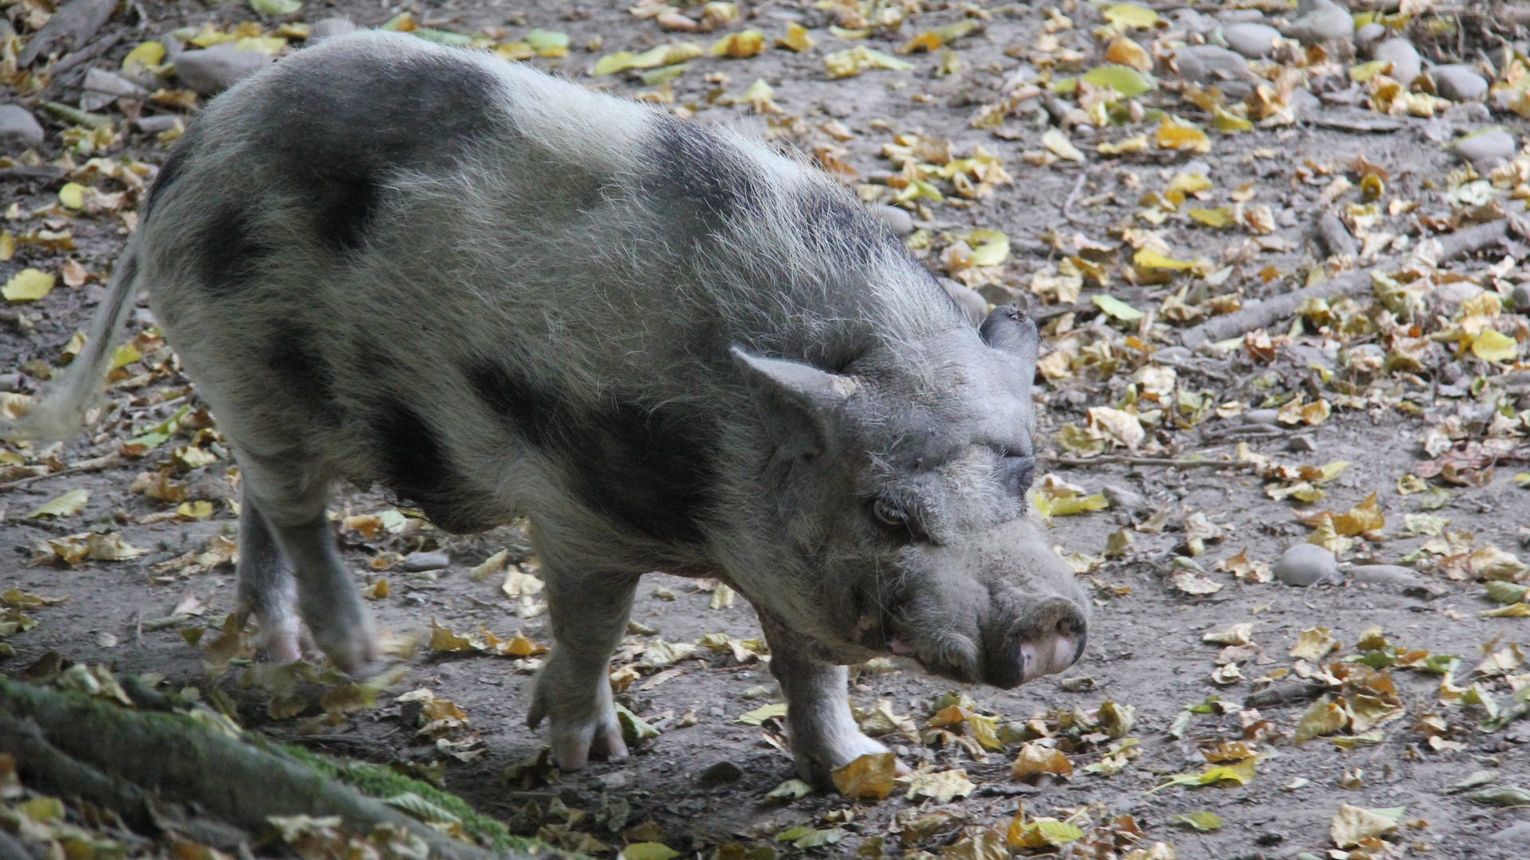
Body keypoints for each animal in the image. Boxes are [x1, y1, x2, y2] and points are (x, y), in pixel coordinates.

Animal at [5, 31, 1095, 783]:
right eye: (887, 512)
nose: (1048, 617)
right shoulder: (575, 509)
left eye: (1027, 474)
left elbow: (809, 666)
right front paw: (584, 757)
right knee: (296, 508)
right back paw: (360, 657)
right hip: (245, 361)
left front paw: (866, 770)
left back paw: (279, 651)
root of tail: (185, 154)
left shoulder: (786, 566)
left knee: (257, 498)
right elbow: (591, 624)